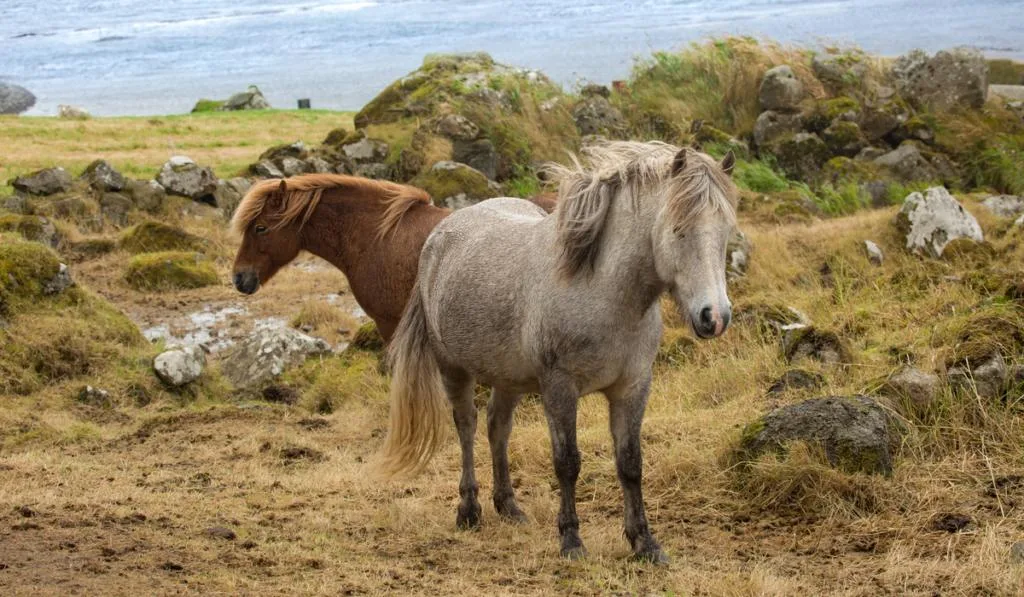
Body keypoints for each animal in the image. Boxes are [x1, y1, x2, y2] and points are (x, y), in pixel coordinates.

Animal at [378, 142, 737, 561]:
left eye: (726, 232)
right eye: (679, 230)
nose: (715, 317)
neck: (601, 292)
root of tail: (439, 235)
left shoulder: (633, 387)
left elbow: (630, 463)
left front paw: (645, 543)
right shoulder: (559, 388)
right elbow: (567, 463)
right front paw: (571, 540)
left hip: (508, 378)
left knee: (497, 427)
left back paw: (508, 505)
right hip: (453, 368)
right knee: (466, 426)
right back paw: (469, 509)